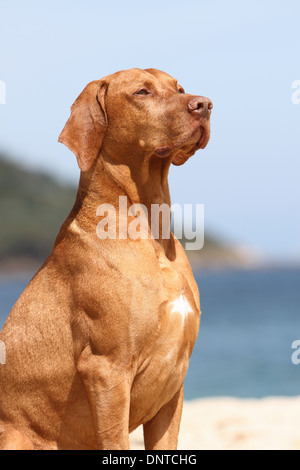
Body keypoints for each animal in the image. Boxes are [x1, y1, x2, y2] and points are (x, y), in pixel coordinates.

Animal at [0, 68, 212, 450]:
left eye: (180, 88)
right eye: (142, 92)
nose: (205, 105)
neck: (151, 231)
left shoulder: (174, 382)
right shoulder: (107, 370)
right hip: (15, 436)